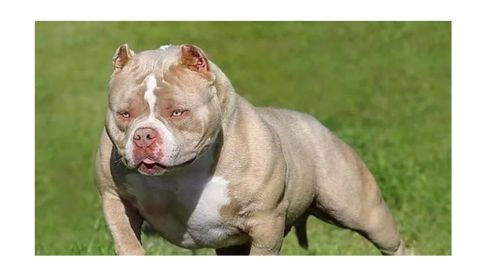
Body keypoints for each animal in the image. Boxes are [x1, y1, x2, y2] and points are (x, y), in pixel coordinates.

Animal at [95, 43, 406, 256]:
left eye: (177, 112)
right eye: (124, 114)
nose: (144, 136)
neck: (180, 172)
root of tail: (316, 124)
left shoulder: (265, 223)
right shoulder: (115, 198)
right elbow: (127, 241)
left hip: (359, 209)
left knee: (392, 243)